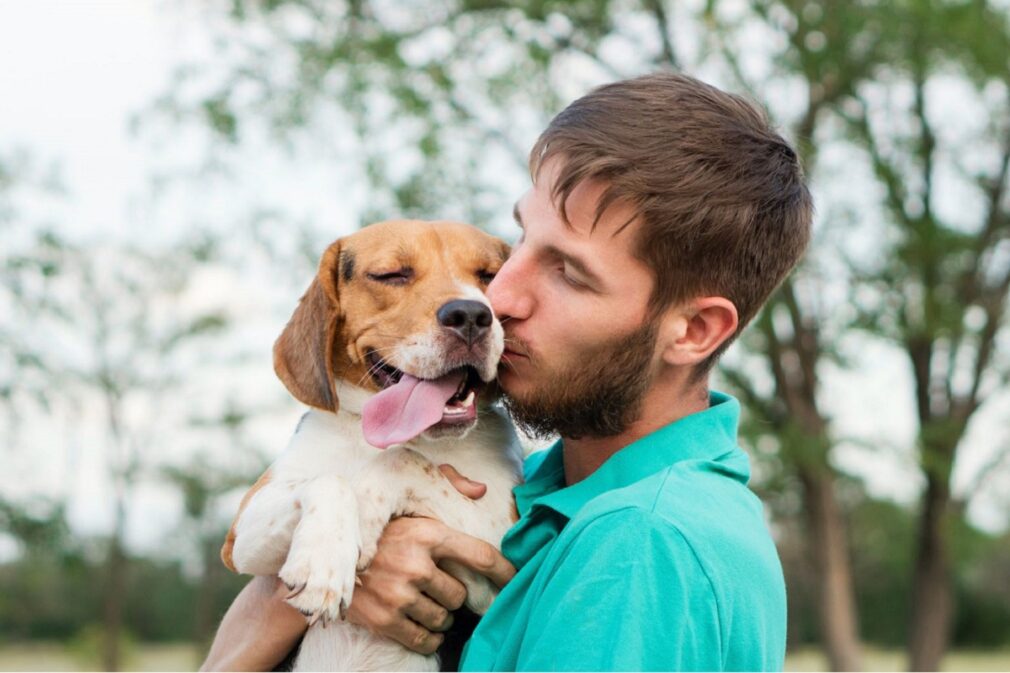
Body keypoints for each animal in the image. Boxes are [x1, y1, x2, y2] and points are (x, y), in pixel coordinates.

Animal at [219, 220, 521, 670]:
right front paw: (324, 562)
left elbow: (402, 462)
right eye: (392, 275)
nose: (470, 315)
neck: (389, 436)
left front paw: (363, 515)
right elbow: (330, 480)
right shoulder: (241, 534)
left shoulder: (500, 556)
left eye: (489, 275)